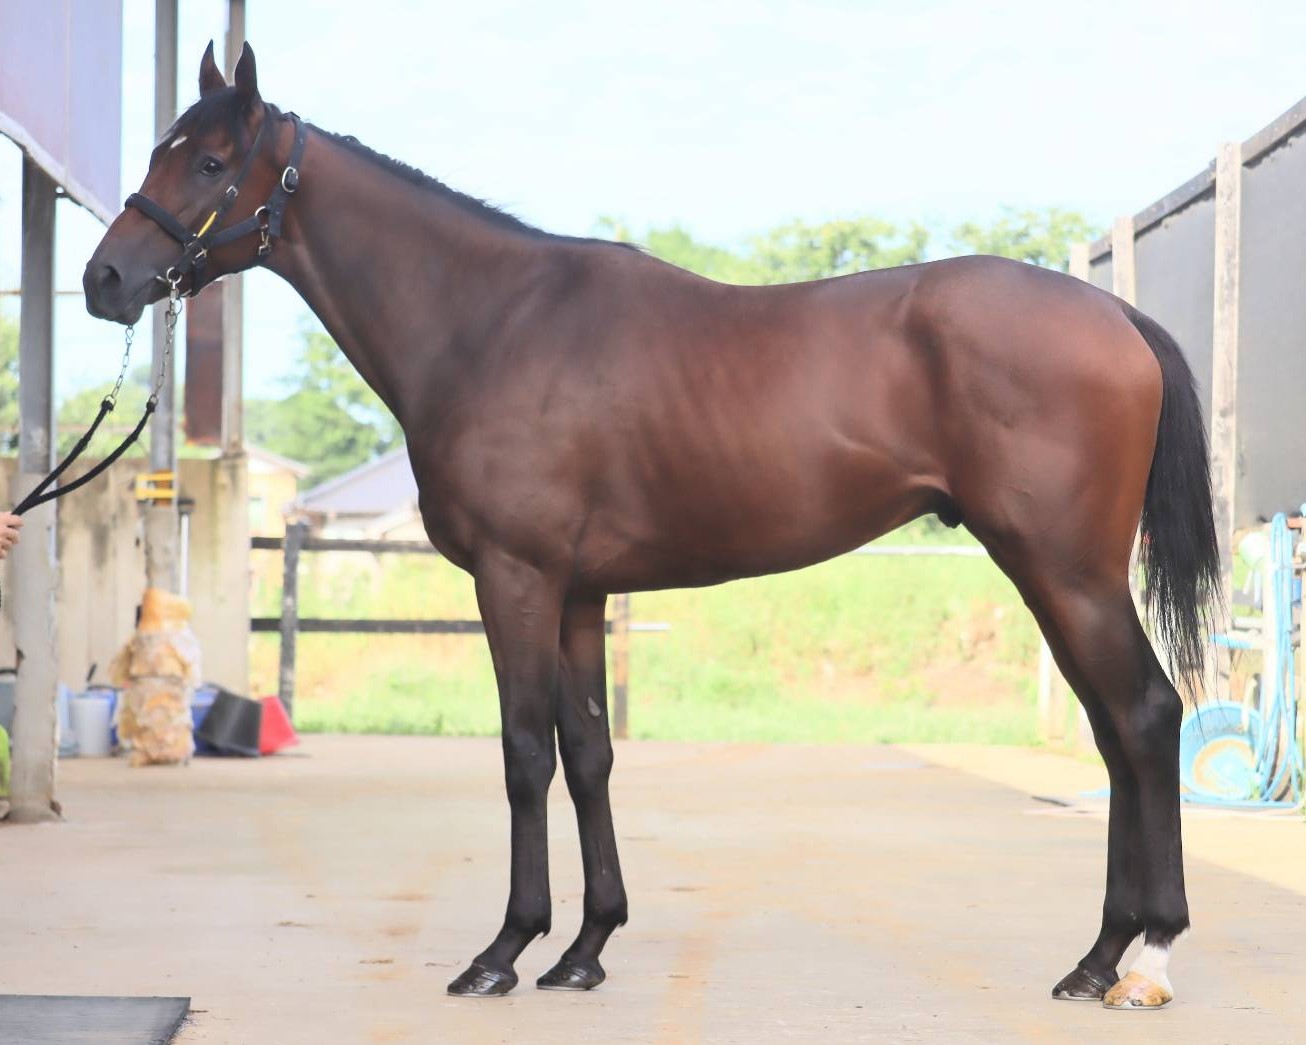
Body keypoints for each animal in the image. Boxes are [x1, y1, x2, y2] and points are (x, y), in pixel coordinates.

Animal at [84, 42, 1219, 1010]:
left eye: (211, 160)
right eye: (159, 151)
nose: (105, 280)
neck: (489, 320)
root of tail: (1115, 316)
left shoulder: (516, 578)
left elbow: (524, 754)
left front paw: (503, 951)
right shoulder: (581, 591)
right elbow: (588, 752)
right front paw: (585, 950)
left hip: (1063, 570)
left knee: (1144, 717)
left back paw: (1149, 956)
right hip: (1056, 576)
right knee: (1115, 730)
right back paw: (1096, 957)